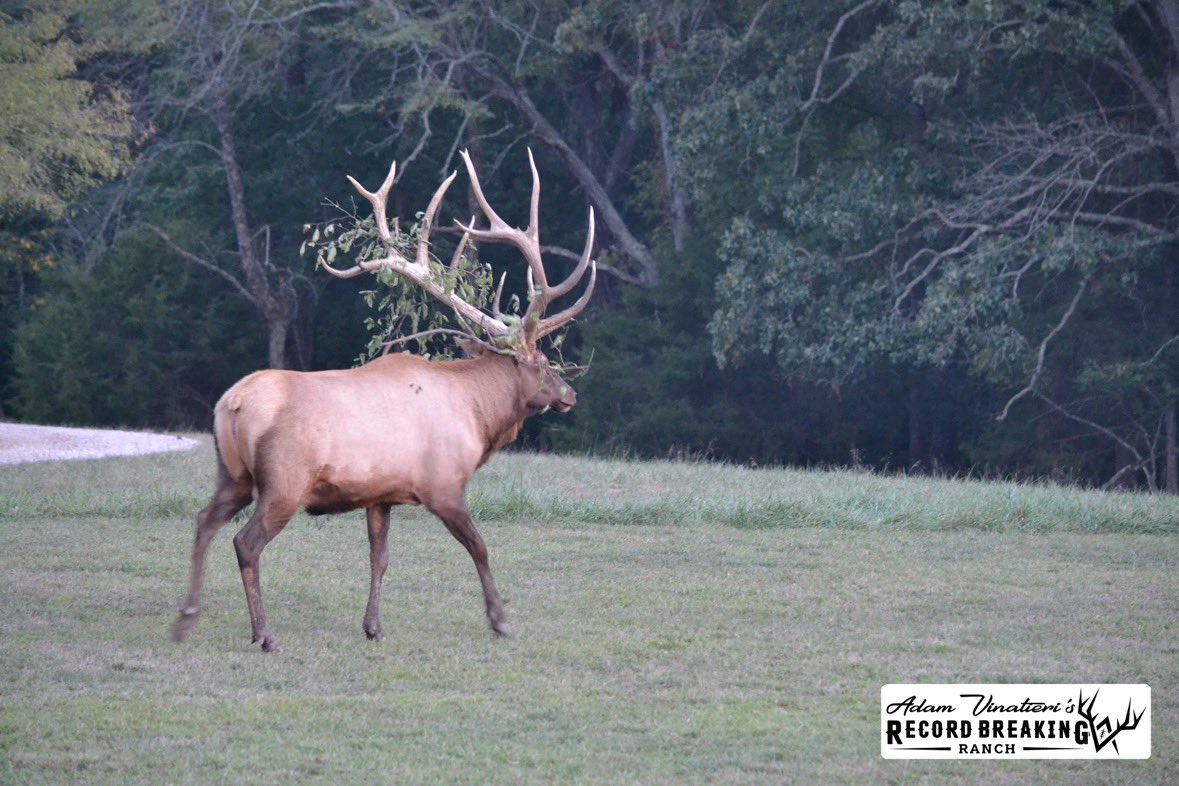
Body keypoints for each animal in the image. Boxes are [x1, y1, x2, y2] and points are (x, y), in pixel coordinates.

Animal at [171, 149, 596, 652]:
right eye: (543, 363)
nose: (570, 395)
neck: (478, 416)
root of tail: (232, 404)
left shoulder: (381, 494)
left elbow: (380, 557)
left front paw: (373, 626)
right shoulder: (443, 484)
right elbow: (479, 545)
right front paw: (499, 619)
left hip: (232, 473)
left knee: (203, 521)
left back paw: (187, 617)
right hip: (284, 481)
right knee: (246, 543)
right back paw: (265, 634)